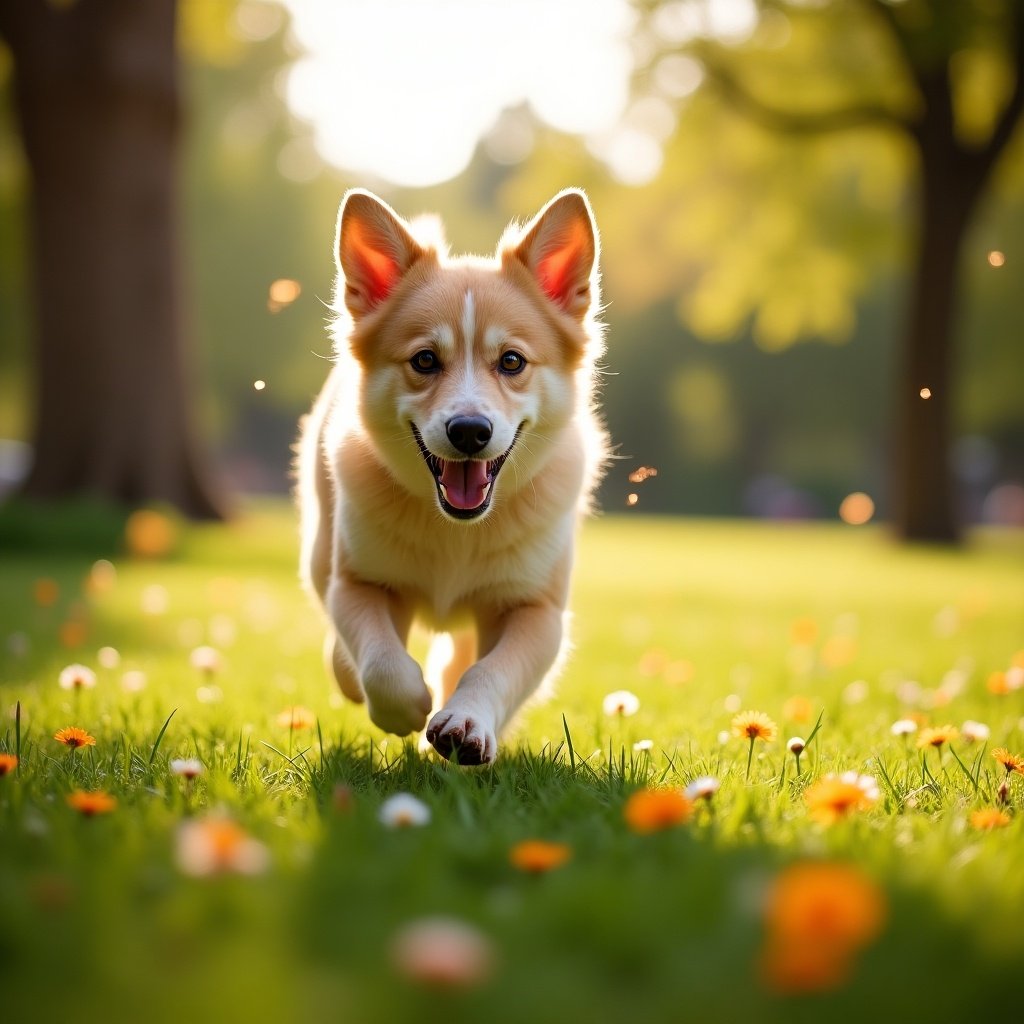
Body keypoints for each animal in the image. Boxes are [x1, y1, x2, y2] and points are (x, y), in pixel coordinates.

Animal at [299, 188, 606, 765]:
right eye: (424, 360)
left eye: (512, 361)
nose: (469, 431)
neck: (457, 532)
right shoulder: (357, 581)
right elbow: (382, 661)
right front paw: (406, 709)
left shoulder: (536, 609)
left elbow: (492, 671)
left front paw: (464, 723)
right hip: (321, 549)